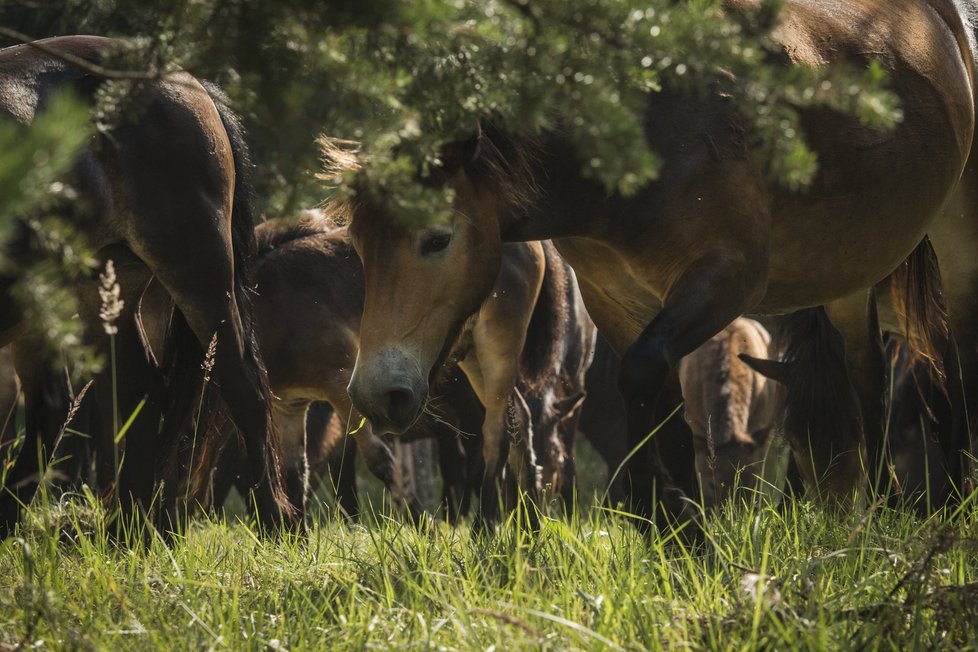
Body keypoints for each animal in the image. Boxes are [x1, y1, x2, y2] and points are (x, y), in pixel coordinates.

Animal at [0, 37, 296, 536]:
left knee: (244, 387)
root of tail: (191, 83)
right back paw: (128, 528)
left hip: (198, 272)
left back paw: (278, 523)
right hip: (95, 292)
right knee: (131, 395)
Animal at [338, 0, 976, 532]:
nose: (376, 395)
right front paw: (680, 536)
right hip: (850, 273)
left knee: (952, 361)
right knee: (868, 380)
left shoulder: (724, 280)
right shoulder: (619, 298)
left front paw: (674, 522)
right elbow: (665, 415)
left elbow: (643, 379)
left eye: (437, 239)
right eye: (360, 247)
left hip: (954, 245)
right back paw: (884, 511)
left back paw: (951, 499)